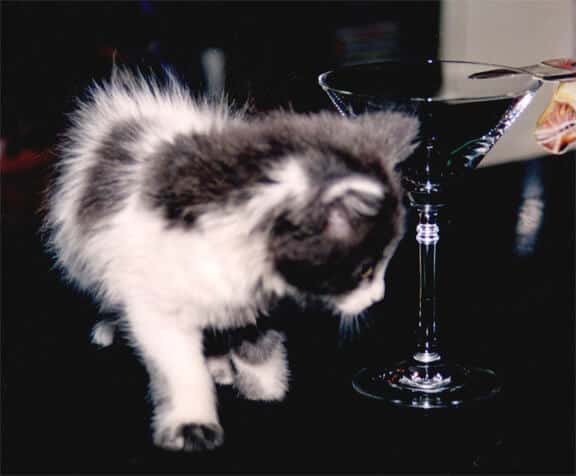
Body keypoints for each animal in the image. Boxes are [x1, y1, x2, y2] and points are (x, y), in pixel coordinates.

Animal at [44, 69, 418, 450]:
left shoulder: (256, 291)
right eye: (365, 269)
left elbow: (257, 336)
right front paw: (191, 423)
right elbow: (178, 364)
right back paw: (109, 326)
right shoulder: (157, 300)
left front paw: (264, 387)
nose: (379, 296)